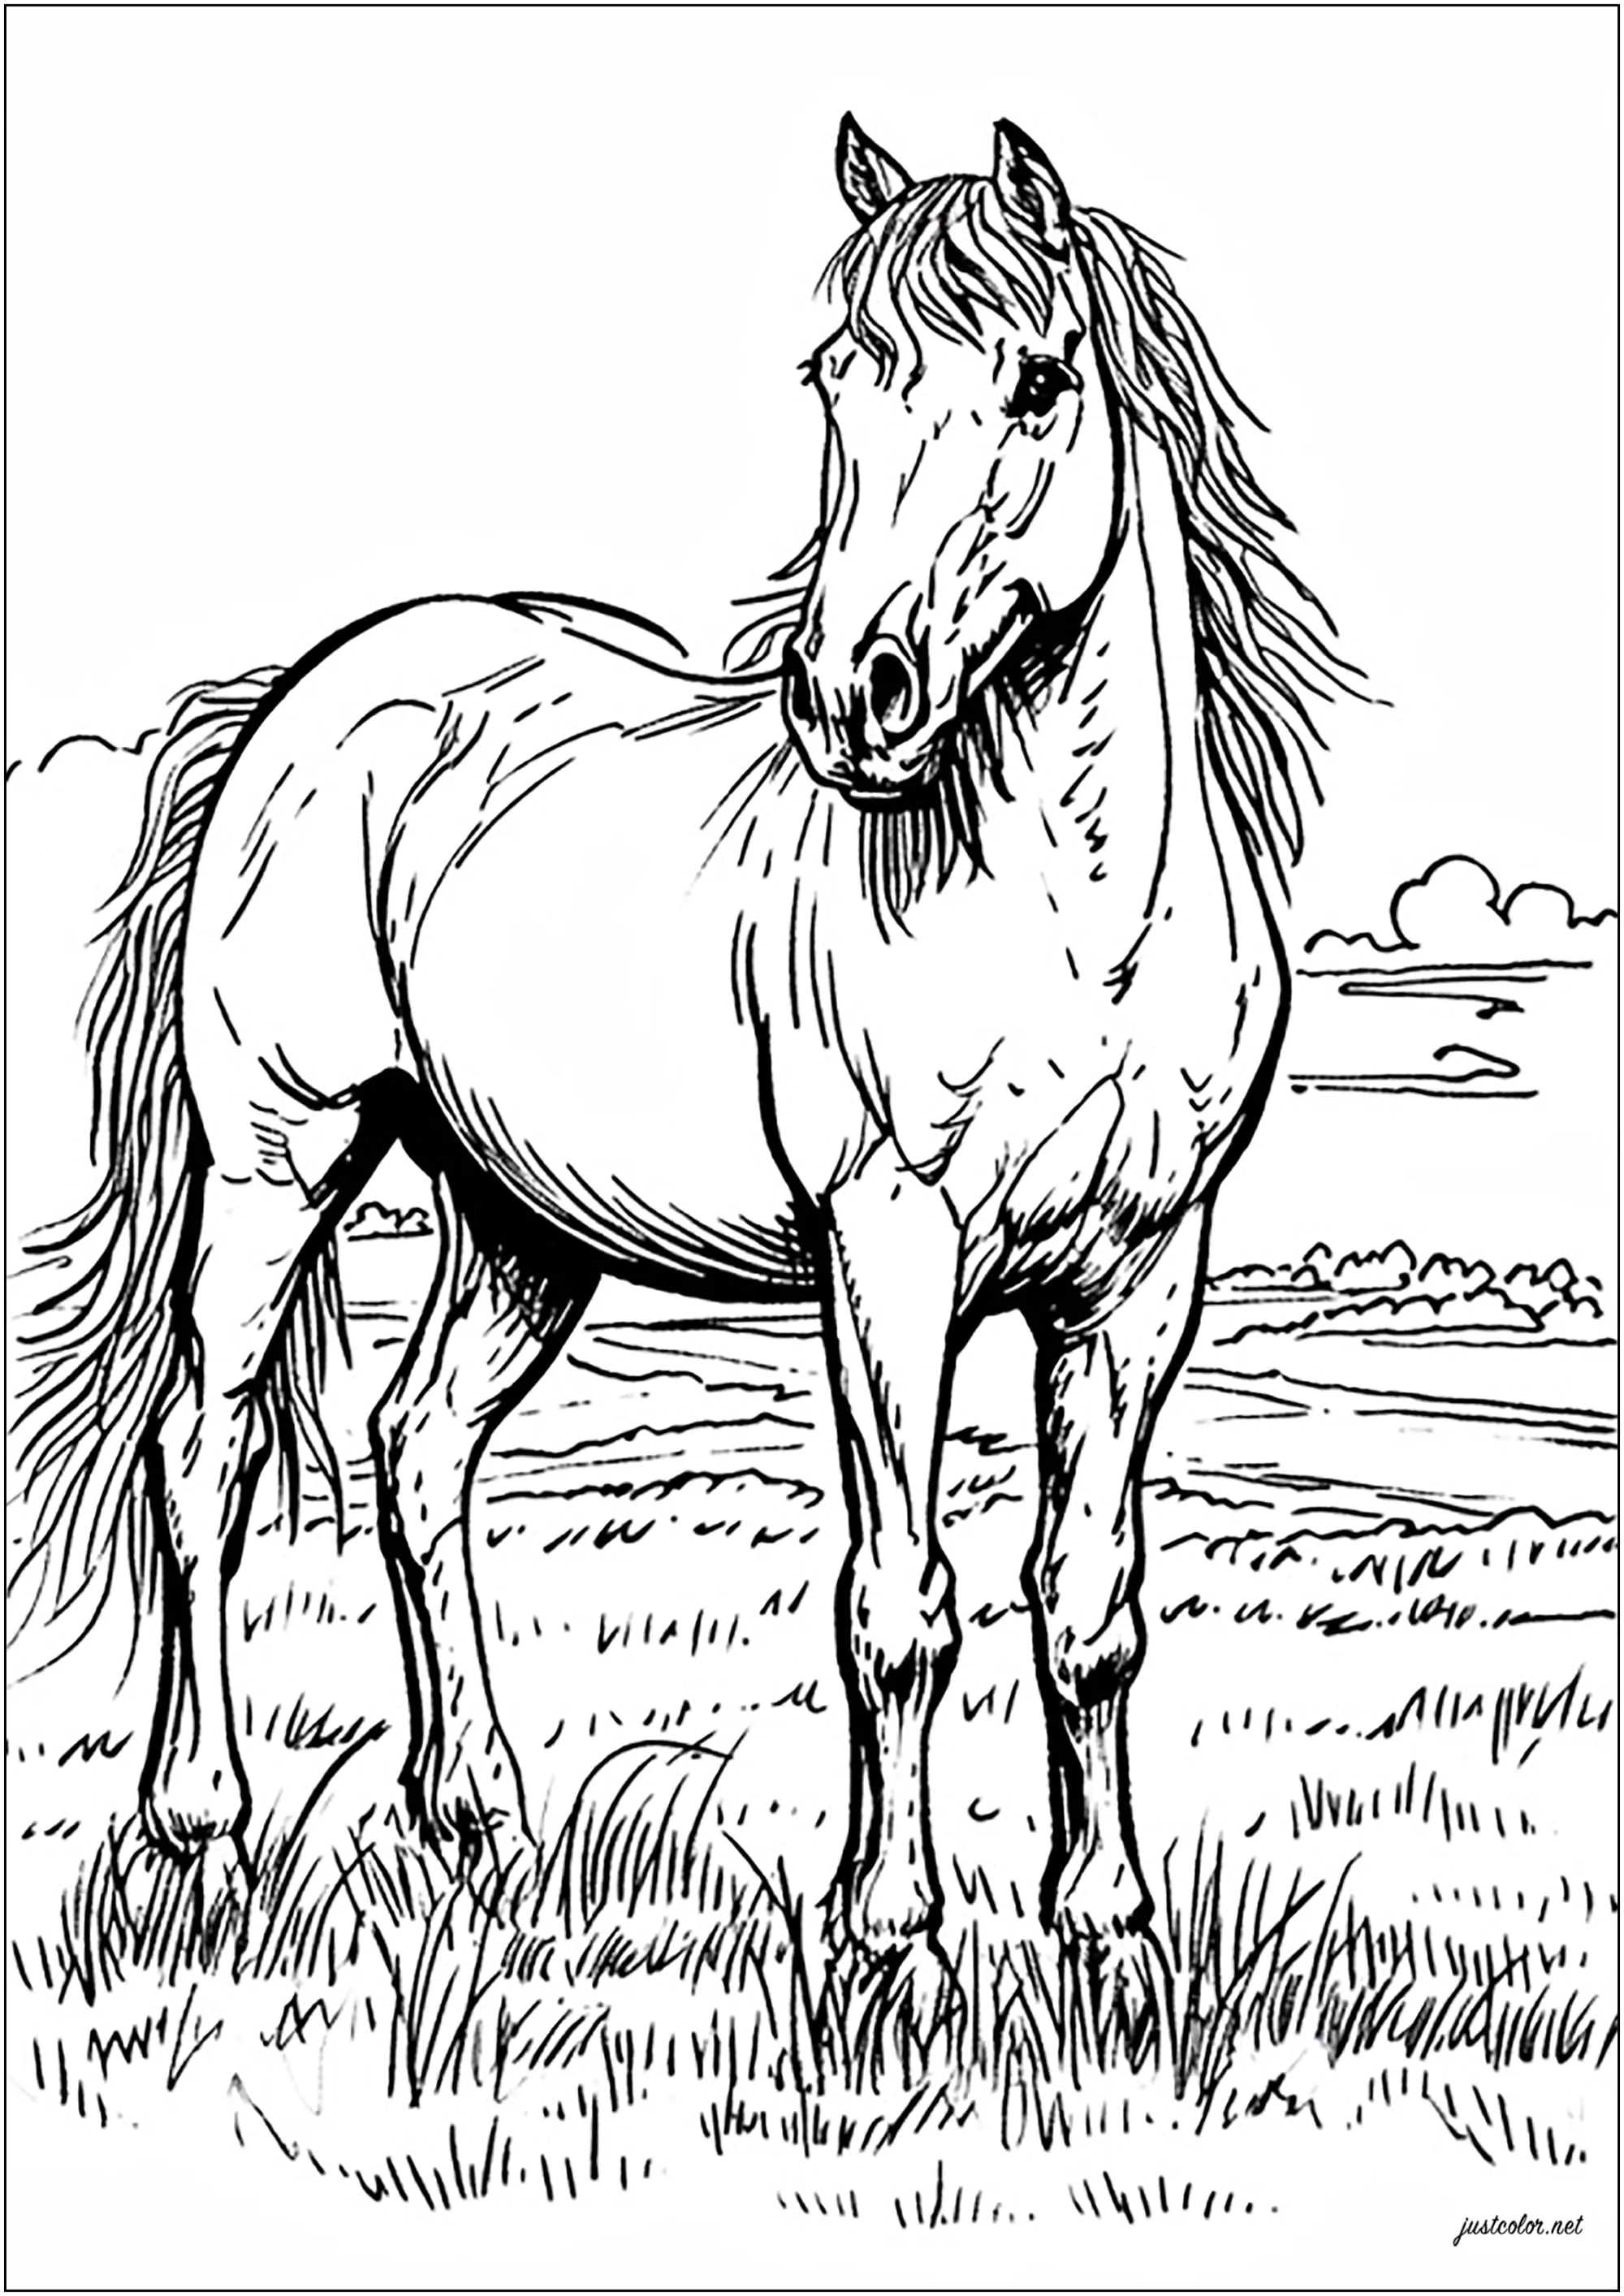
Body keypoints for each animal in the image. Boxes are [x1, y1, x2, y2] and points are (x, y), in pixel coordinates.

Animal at [15, 117, 1362, 2025]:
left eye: (1040, 380)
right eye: (836, 377)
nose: (855, 695)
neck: (1074, 916)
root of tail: (308, 697)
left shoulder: (1139, 1279)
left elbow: (1090, 1607)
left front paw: (1104, 1931)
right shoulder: (892, 1259)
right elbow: (902, 1603)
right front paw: (892, 1940)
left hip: (523, 1225)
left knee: (419, 1449)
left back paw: (481, 1823)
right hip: (282, 1159)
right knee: (203, 1459)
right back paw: (204, 1827)